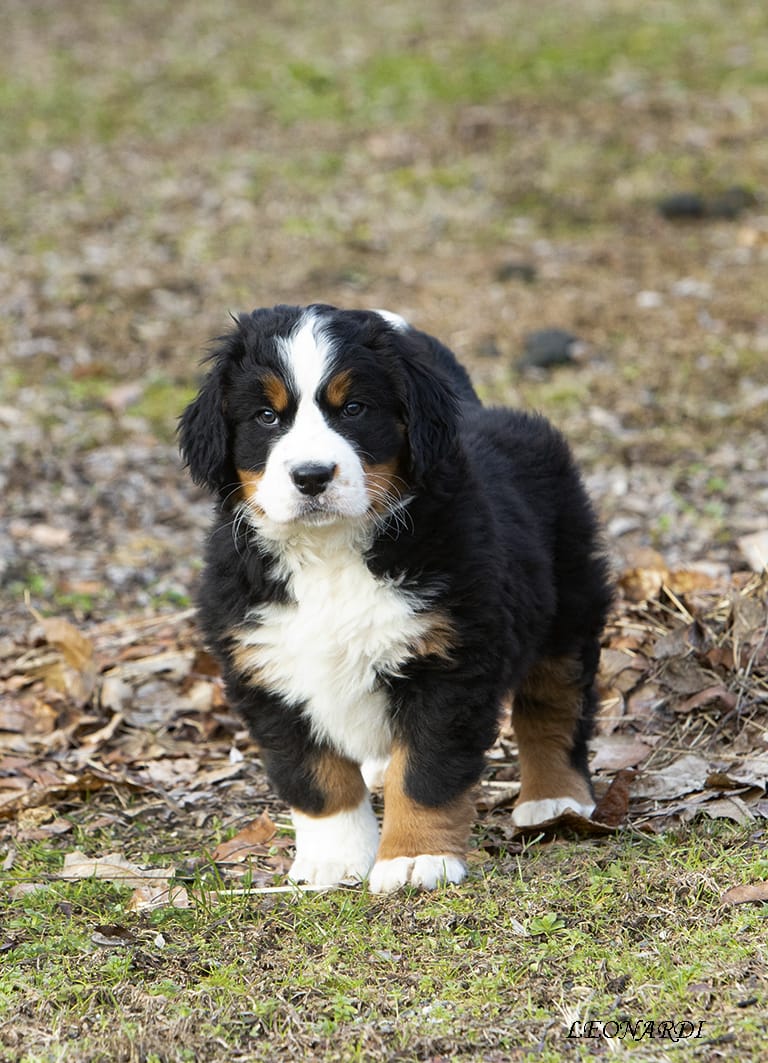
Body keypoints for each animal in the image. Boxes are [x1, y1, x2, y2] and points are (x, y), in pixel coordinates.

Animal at [179, 304, 608, 892]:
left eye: (354, 409)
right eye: (267, 417)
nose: (311, 476)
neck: (331, 554)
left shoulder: (449, 662)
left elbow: (425, 770)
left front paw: (413, 857)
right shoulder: (267, 665)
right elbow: (314, 774)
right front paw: (334, 859)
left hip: (568, 598)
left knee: (556, 701)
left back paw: (555, 800)